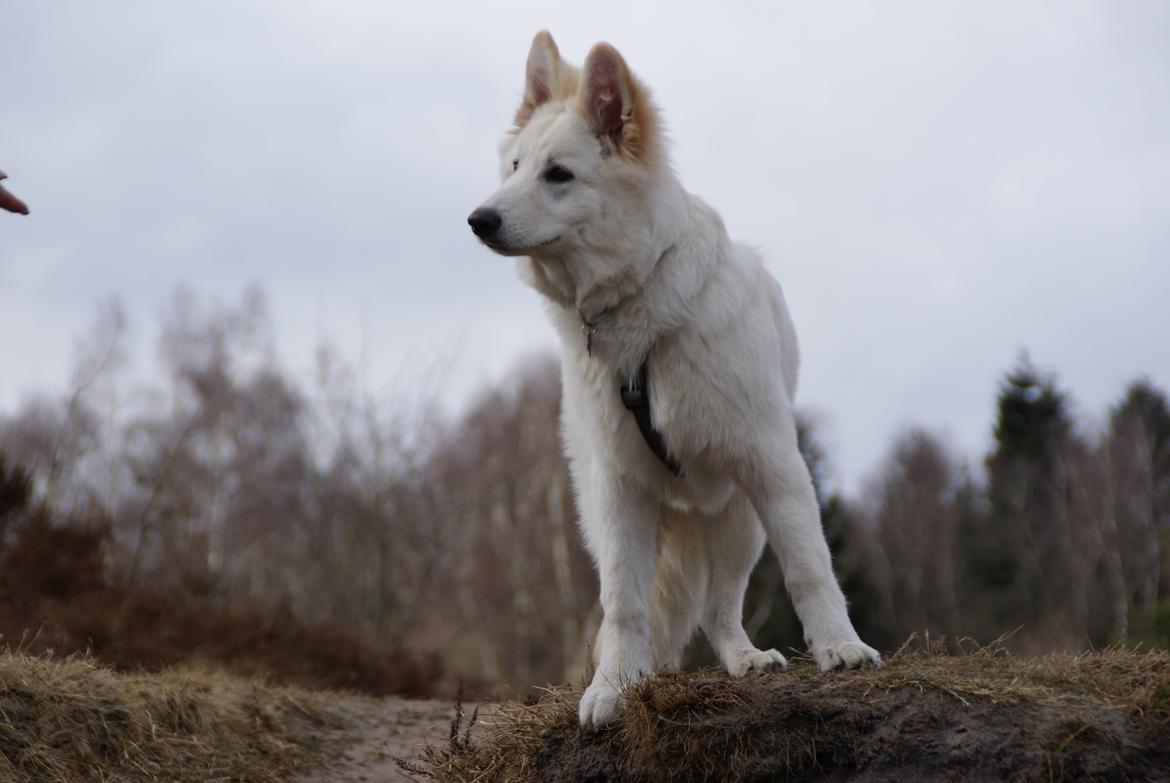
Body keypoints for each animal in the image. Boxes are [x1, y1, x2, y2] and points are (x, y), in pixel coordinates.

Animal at [465, 32, 879, 725]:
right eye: (514, 168)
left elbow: (810, 568)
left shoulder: (772, 466)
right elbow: (625, 607)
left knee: (720, 608)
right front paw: (613, 688)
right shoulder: (620, 492)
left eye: (558, 174)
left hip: (739, 524)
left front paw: (839, 648)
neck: (645, 306)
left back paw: (745, 658)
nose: (477, 220)